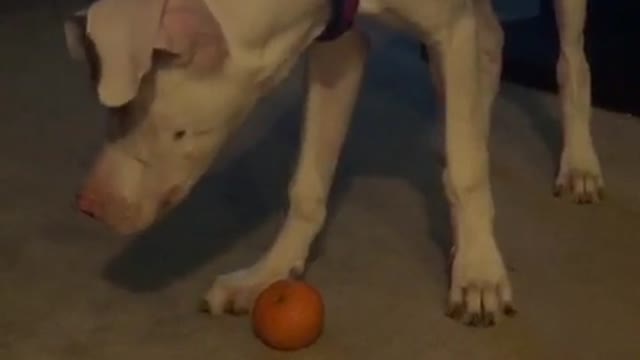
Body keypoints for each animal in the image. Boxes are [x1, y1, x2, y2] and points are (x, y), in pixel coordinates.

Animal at [63, 0, 600, 326]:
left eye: (172, 129)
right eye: (112, 112)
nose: (89, 206)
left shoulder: (449, 29)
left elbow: (467, 173)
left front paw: (480, 275)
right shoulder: (338, 48)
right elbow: (307, 185)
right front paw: (268, 273)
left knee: (572, 61)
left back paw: (578, 165)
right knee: (489, 44)